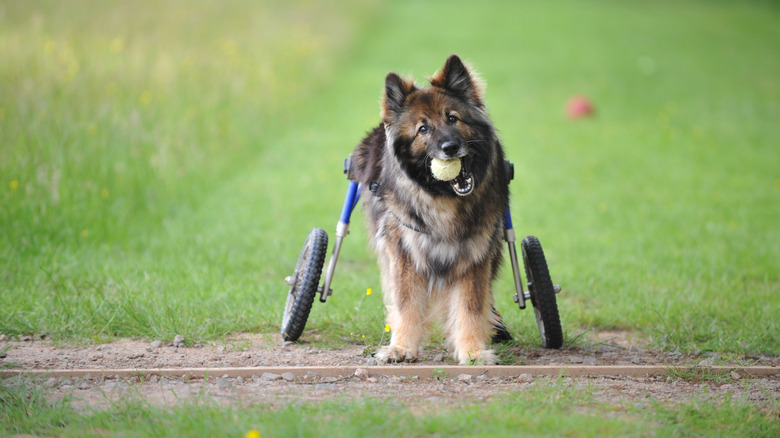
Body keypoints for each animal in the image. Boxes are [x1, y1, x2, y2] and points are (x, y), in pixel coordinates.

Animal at [348, 54, 508, 366]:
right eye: (423, 129)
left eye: (452, 118)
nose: (450, 147)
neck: (444, 201)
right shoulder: (404, 254)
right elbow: (406, 303)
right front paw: (401, 347)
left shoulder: (475, 255)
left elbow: (470, 306)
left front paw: (472, 351)